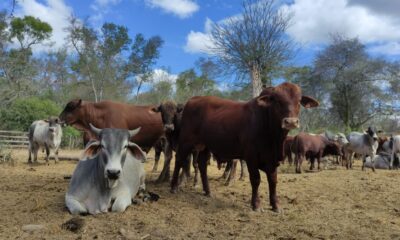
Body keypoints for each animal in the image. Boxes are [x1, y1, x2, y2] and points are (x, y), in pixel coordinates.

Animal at [171, 82, 318, 212]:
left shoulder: (271, 159)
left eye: (299, 101)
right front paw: (256, 205)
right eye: (277, 101)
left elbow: (273, 180)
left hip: (205, 145)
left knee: (202, 165)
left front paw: (276, 205)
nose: (291, 122)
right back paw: (173, 187)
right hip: (185, 141)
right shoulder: (251, 156)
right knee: (179, 160)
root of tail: (193, 100)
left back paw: (207, 191)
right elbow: (256, 179)